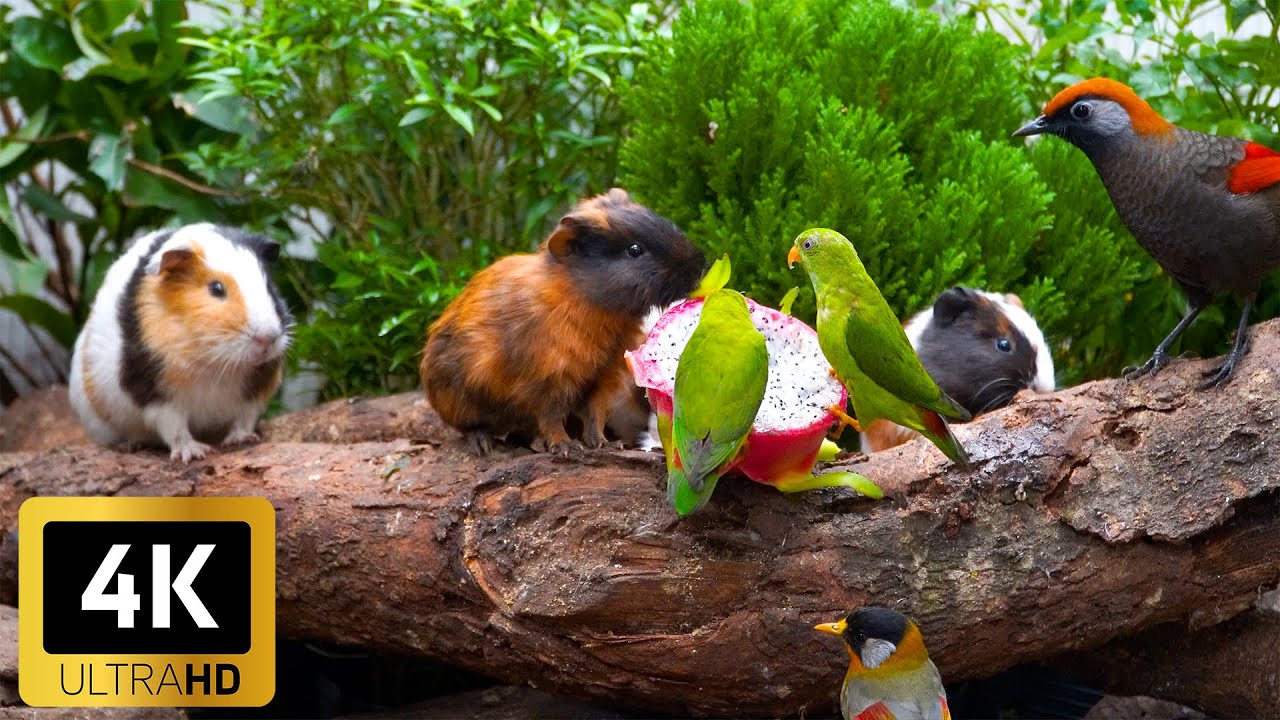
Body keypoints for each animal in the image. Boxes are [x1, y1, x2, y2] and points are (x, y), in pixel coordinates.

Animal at [421, 189, 705, 454]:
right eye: (634, 250)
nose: (699, 266)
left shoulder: (604, 378)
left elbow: (594, 416)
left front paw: (604, 444)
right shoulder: (549, 379)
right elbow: (551, 418)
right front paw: (565, 447)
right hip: (460, 404)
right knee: (471, 427)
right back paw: (484, 445)